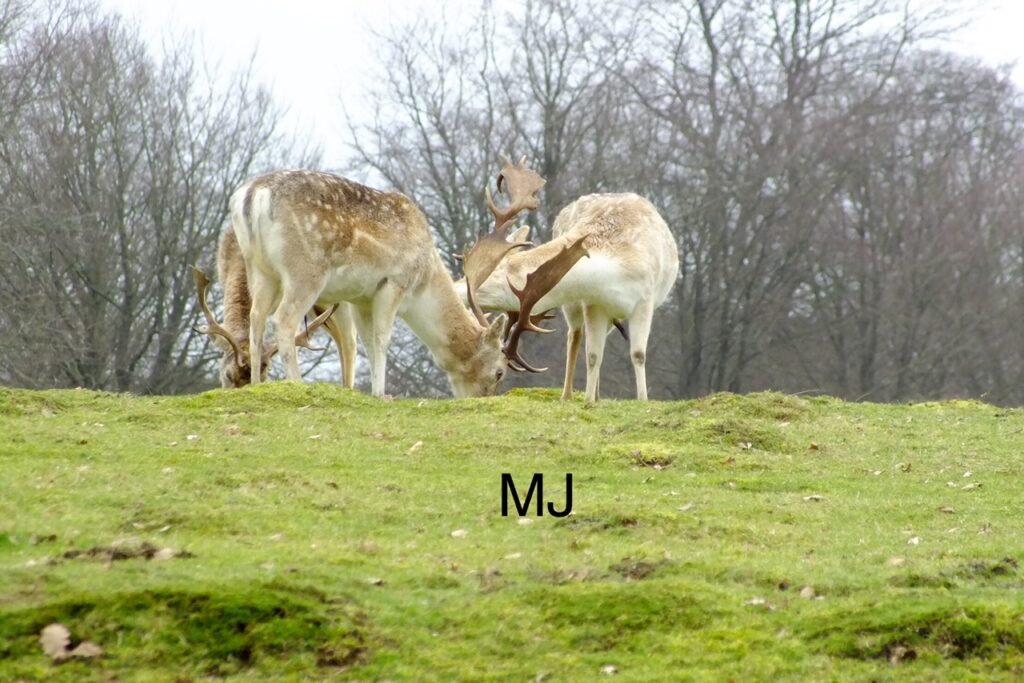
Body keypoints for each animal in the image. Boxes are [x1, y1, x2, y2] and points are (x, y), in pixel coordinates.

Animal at [194, 162, 582, 398]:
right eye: (499, 372)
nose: (481, 398)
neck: (424, 280)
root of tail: (251, 195)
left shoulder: (359, 297)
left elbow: (364, 342)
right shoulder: (393, 283)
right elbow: (381, 339)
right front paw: (381, 393)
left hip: (259, 270)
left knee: (256, 319)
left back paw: (257, 384)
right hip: (304, 271)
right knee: (284, 320)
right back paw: (297, 383)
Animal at [464, 189, 680, 402]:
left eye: (497, 278)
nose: (462, 287)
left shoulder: (645, 301)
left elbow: (638, 354)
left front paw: (642, 399)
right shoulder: (593, 303)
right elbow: (592, 355)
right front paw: (588, 401)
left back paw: (598, 396)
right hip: (573, 305)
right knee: (575, 337)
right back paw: (568, 395)